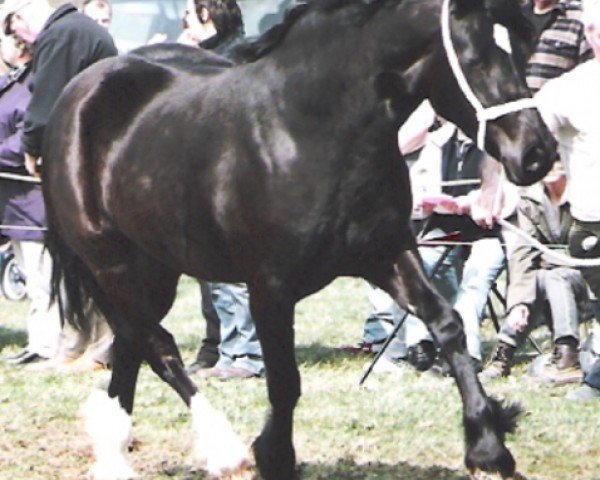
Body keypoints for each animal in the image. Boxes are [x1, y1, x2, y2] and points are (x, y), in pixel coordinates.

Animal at [43, 0, 556, 480]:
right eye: (474, 57)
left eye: (523, 48)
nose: (537, 153)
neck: (308, 131)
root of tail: (81, 91)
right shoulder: (270, 287)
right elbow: (285, 382)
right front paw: (273, 455)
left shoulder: (387, 253)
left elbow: (448, 324)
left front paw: (488, 448)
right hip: (111, 262)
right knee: (158, 345)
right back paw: (221, 448)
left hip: (156, 268)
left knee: (132, 342)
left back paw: (115, 452)